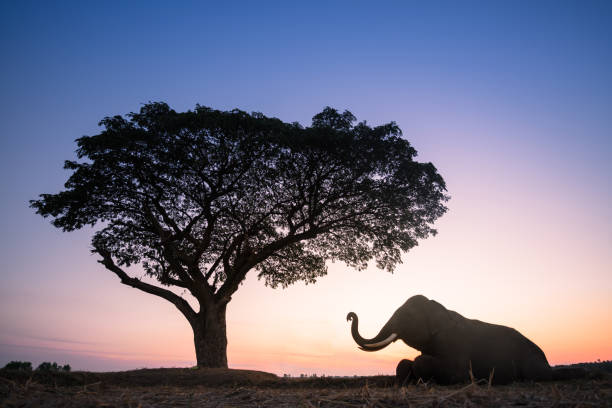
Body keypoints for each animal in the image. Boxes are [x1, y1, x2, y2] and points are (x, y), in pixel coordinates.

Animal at [350, 294, 556, 384]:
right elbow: (404, 362)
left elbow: (457, 372)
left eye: (407, 316)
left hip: (531, 359)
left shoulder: (456, 343)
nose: (350, 315)